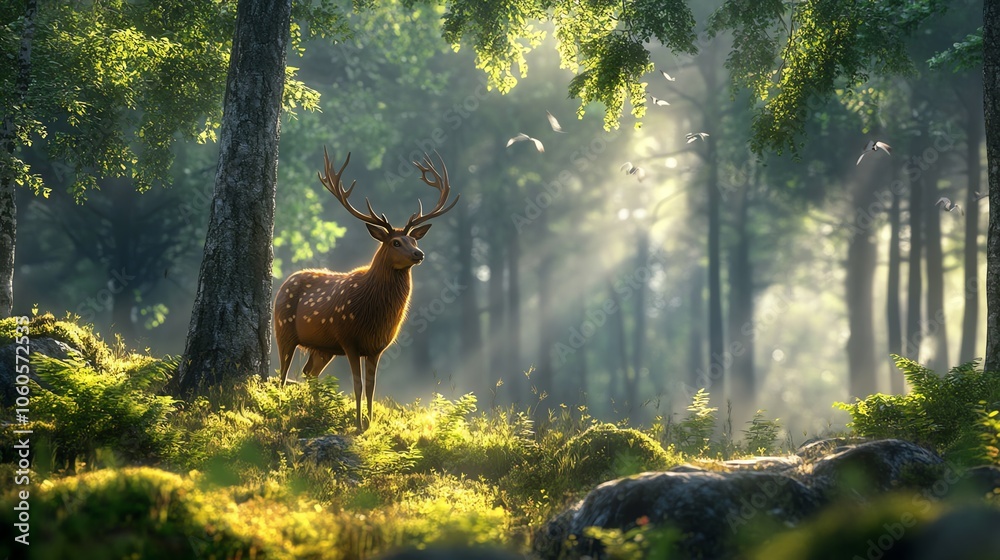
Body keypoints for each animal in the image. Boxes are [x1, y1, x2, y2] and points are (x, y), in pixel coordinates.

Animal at [274, 148, 459, 429]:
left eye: (414, 240)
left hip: (322, 348)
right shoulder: (349, 338)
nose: (419, 254)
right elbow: (357, 386)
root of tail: (284, 282)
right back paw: (282, 405)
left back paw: (315, 409)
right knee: (282, 373)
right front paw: (359, 424)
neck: (374, 314)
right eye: (395, 242)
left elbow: (372, 387)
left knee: (309, 373)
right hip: (283, 329)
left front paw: (369, 424)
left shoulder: (376, 347)